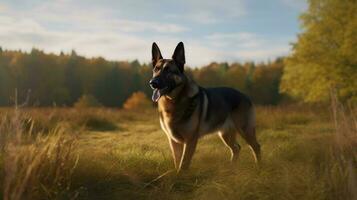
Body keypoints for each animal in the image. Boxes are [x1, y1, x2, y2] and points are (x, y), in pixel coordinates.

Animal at [149, 42, 260, 172]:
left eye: (168, 71)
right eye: (156, 69)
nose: (152, 83)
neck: (174, 101)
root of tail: (245, 95)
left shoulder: (190, 141)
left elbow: (183, 164)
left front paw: (181, 176)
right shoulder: (174, 142)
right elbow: (177, 162)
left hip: (245, 130)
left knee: (256, 147)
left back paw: (259, 167)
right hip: (225, 134)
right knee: (236, 148)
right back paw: (232, 167)